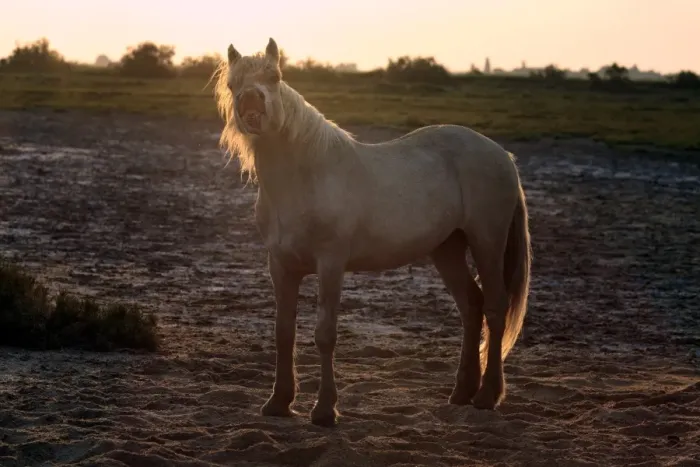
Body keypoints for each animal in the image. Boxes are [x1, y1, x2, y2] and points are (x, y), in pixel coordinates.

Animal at [213, 38, 532, 427]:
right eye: (233, 85)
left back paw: (487, 397)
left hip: (487, 241)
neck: (304, 179)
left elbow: (325, 334)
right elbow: (283, 332)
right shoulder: (281, 267)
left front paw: (324, 410)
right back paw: (461, 394)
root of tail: (502, 154)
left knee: (496, 307)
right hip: (447, 248)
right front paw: (278, 402)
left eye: (274, 77)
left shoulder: (330, 264)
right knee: (472, 305)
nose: (250, 103)